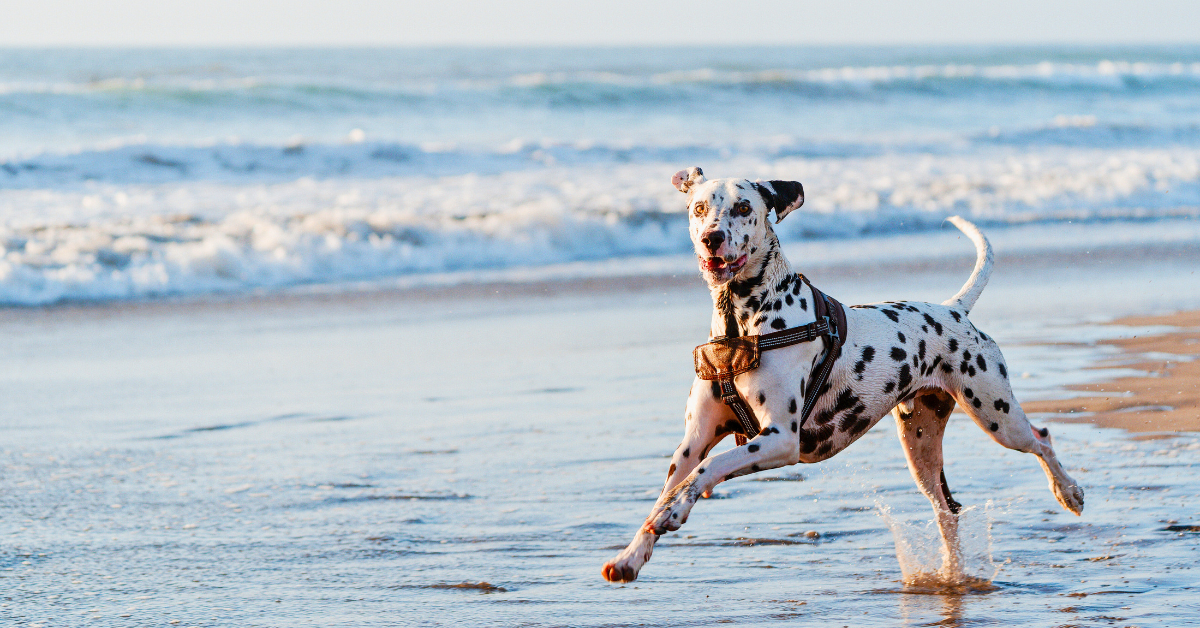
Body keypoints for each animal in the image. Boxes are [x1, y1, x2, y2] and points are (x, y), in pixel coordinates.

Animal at [600, 165, 1089, 585]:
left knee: (1042, 439)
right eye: (699, 208)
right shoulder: (692, 441)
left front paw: (674, 513)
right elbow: (675, 482)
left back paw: (1068, 492)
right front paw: (632, 555)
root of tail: (953, 309)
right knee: (947, 509)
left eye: (742, 208)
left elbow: (709, 468)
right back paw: (951, 573)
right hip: (922, 447)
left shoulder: (780, 440)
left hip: (997, 415)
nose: (711, 238)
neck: (742, 324)